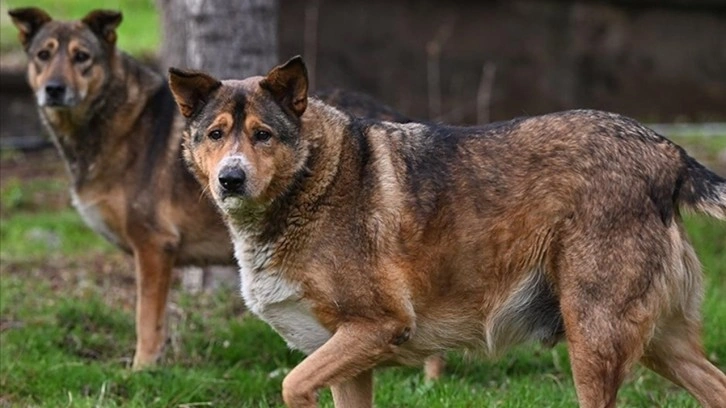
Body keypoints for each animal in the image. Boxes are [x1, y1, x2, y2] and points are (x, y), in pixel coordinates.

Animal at [9, 8, 444, 380]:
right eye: (43, 55)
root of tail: (398, 117)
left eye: (82, 57)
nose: (54, 89)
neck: (117, 120)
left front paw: (142, 370)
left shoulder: (154, 246)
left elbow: (147, 321)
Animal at [169, 55, 726, 408]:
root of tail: (667, 150)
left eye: (262, 135)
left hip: (593, 342)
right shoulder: (352, 359)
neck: (311, 183)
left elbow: (290, 386)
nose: (231, 178)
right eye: (215, 135)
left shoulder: (378, 327)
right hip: (659, 344)